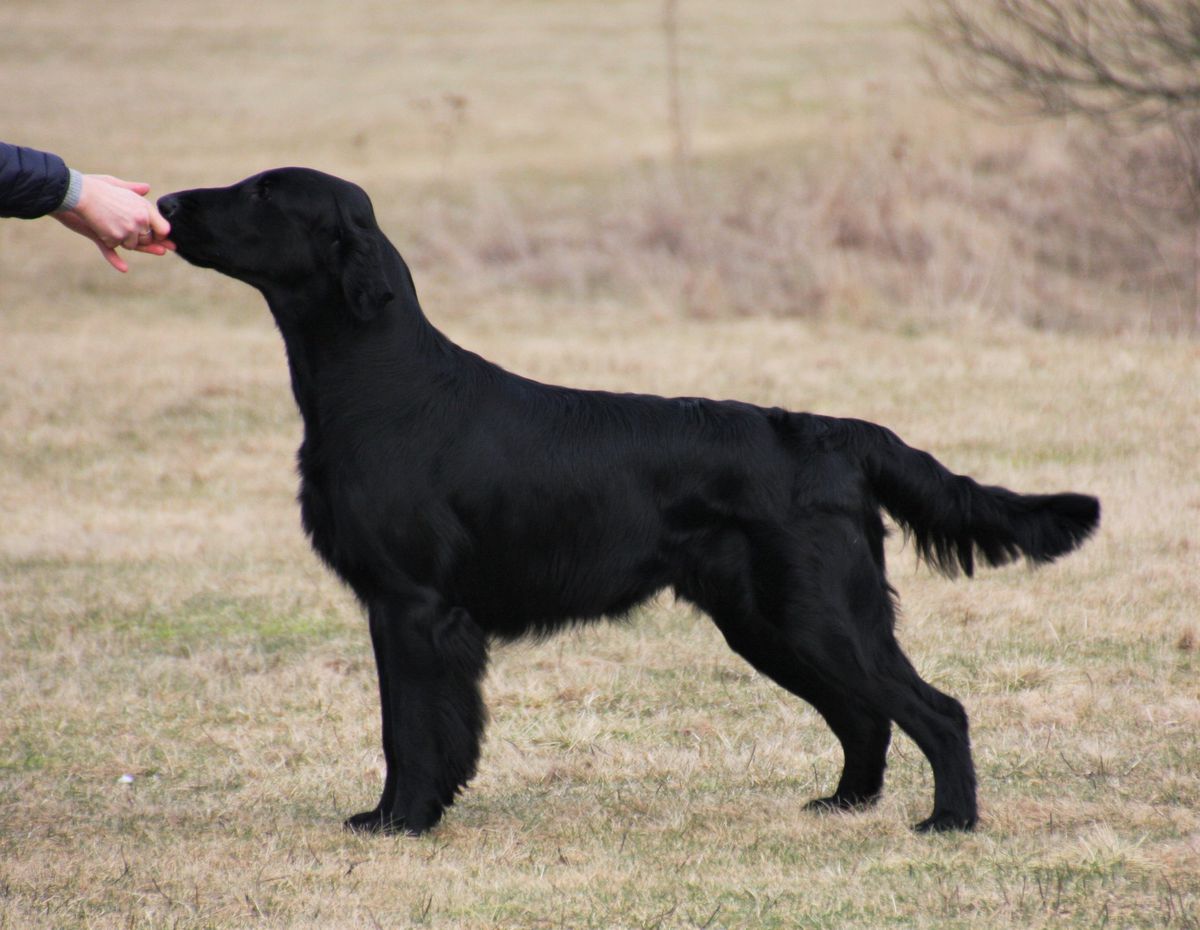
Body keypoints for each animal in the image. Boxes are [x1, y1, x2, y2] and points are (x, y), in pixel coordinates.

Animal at [157, 166, 1099, 835]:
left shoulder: (412, 604)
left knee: (937, 710)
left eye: (263, 192)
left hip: (819, 614)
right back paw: (845, 805)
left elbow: (411, 729)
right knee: (867, 715)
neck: (379, 383)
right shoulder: (407, 609)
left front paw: (404, 821)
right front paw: (406, 813)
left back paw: (950, 821)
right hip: (768, 622)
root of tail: (832, 433)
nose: (164, 200)